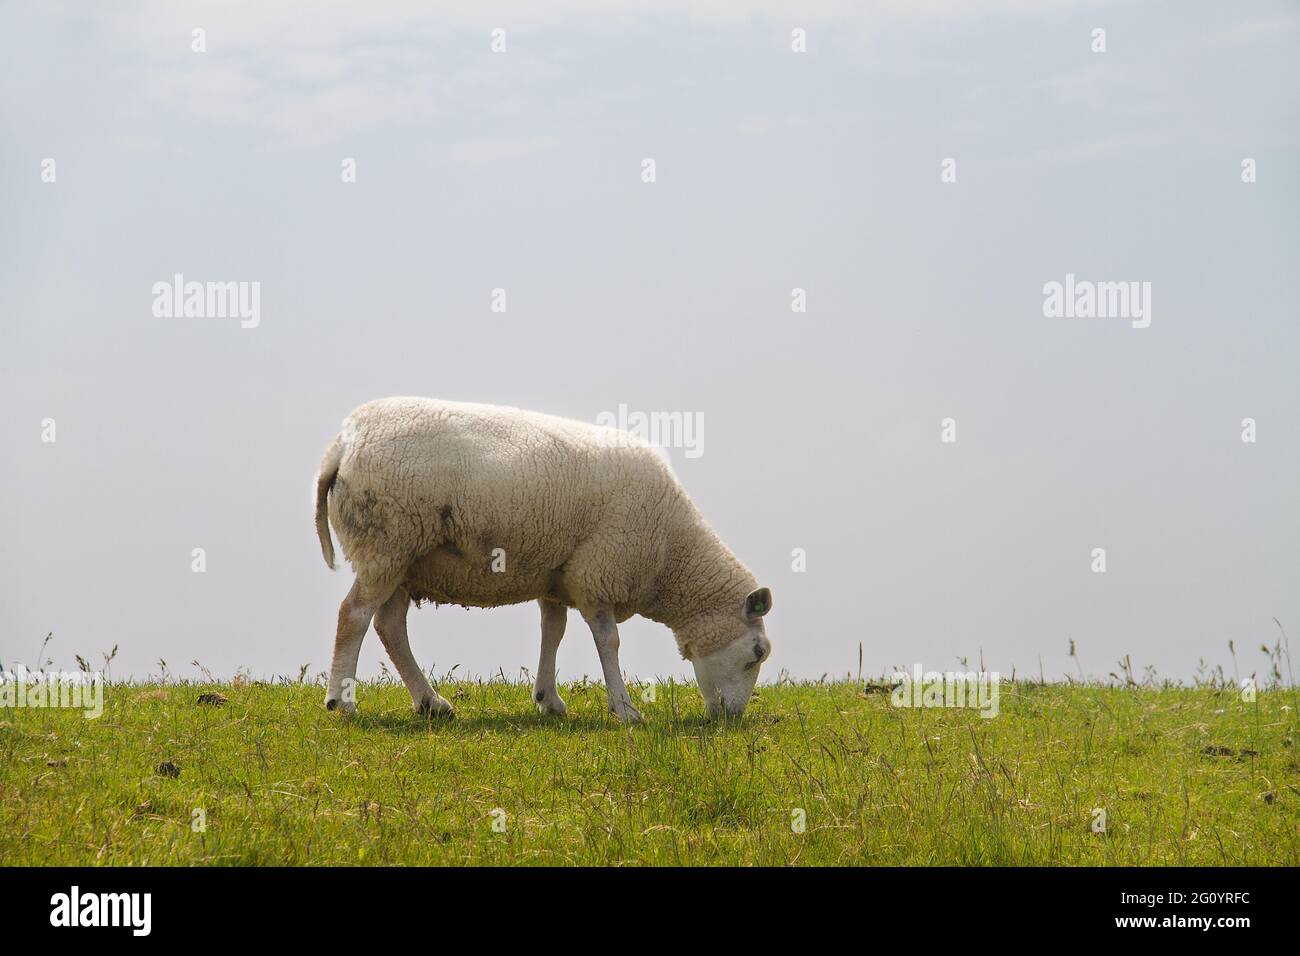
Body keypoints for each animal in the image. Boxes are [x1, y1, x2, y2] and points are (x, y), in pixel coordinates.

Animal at [313, 398, 769, 723]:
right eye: (757, 653)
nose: (732, 717)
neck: (671, 554)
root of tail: (342, 445)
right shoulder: (598, 573)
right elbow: (609, 642)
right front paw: (625, 709)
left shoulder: (559, 576)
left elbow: (554, 632)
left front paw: (548, 699)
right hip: (385, 543)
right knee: (354, 615)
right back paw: (342, 701)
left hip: (402, 559)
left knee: (390, 626)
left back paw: (430, 702)